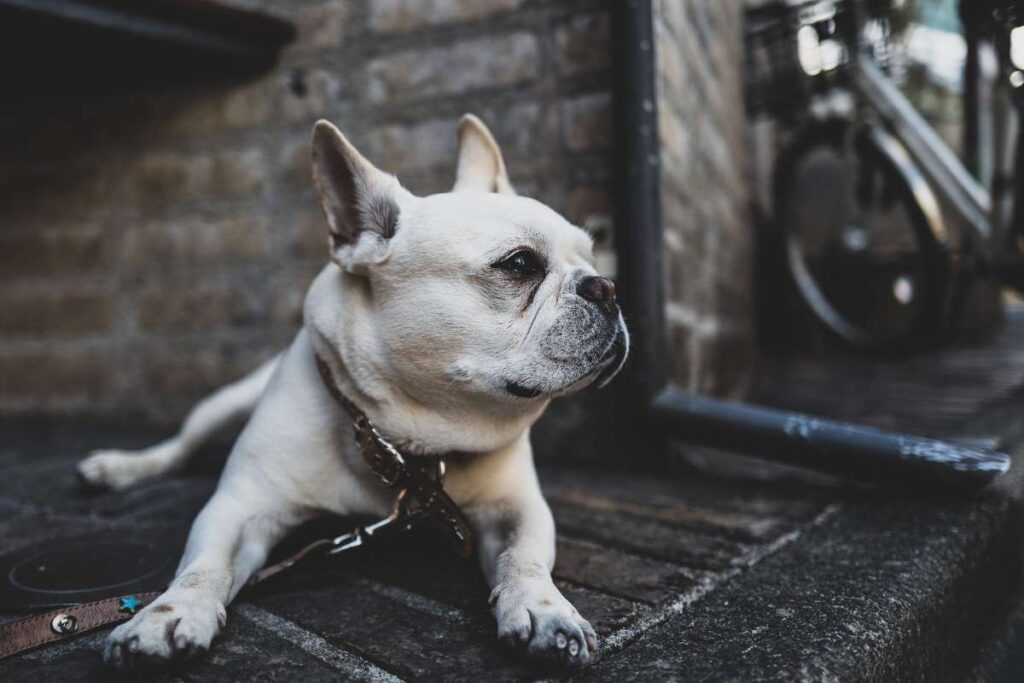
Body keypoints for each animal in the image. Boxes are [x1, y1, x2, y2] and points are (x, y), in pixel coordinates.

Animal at [77, 114, 622, 671]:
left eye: (592, 255)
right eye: (518, 264)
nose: (606, 287)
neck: (403, 439)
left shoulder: (517, 507)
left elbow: (523, 557)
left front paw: (544, 609)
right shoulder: (240, 506)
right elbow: (204, 565)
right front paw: (169, 614)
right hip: (222, 404)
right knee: (181, 444)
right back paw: (120, 466)